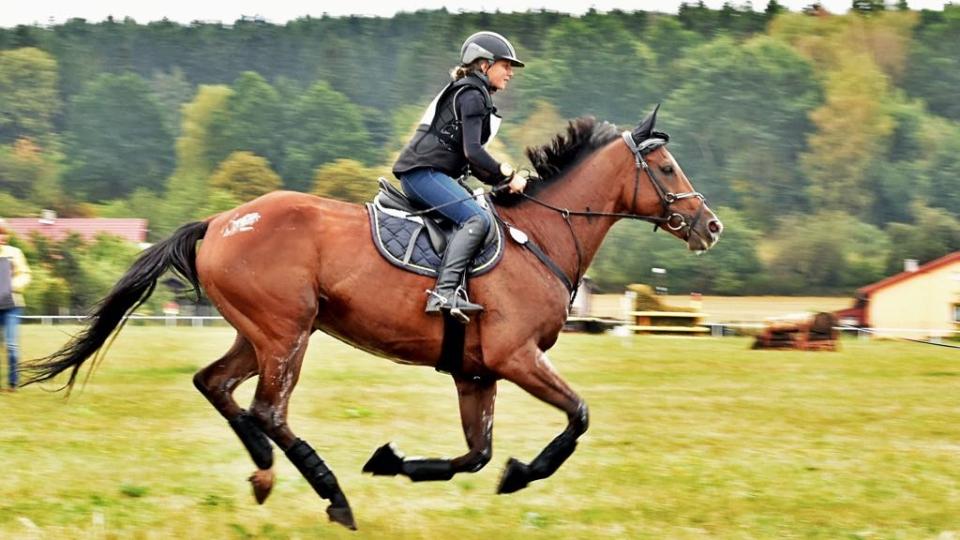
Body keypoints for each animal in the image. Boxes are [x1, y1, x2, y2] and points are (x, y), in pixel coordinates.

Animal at [21, 106, 722, 530]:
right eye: (665, 167)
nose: (710, 226)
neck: (543, 236)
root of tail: (221, 222)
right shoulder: (516, 358)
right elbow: (576, 417)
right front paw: (522, 475)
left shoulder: (475, 373)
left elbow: (475, 453)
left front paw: (393, 462)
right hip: (286, 334)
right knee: (269, 410)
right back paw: (333, 497)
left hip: (262, 332)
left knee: (216, 386)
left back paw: (264, 472)